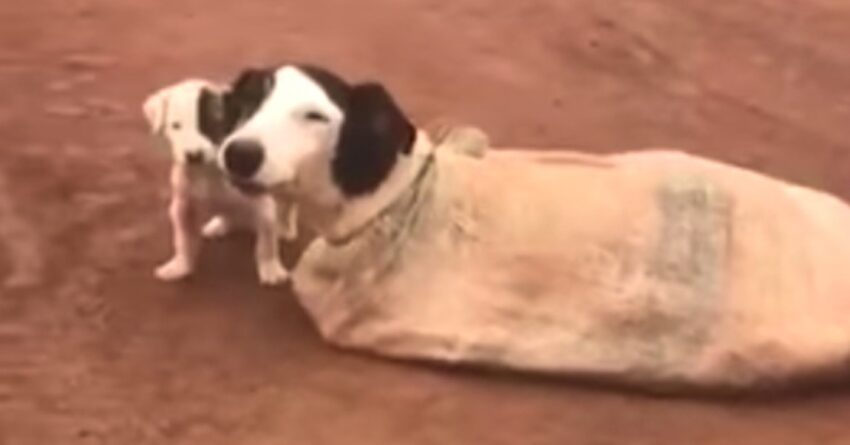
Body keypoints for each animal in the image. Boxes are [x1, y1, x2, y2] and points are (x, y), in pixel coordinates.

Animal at [141, 78, 296, 284]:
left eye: (212, 124)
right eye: (176, 126)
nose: (193, 156)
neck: (209, 172)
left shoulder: (265, 207)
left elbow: (266, 244)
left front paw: (271, 268)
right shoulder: (183, 208)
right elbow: (183, 240)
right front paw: (180, 265)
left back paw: (286, 226)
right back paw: (219, 225)